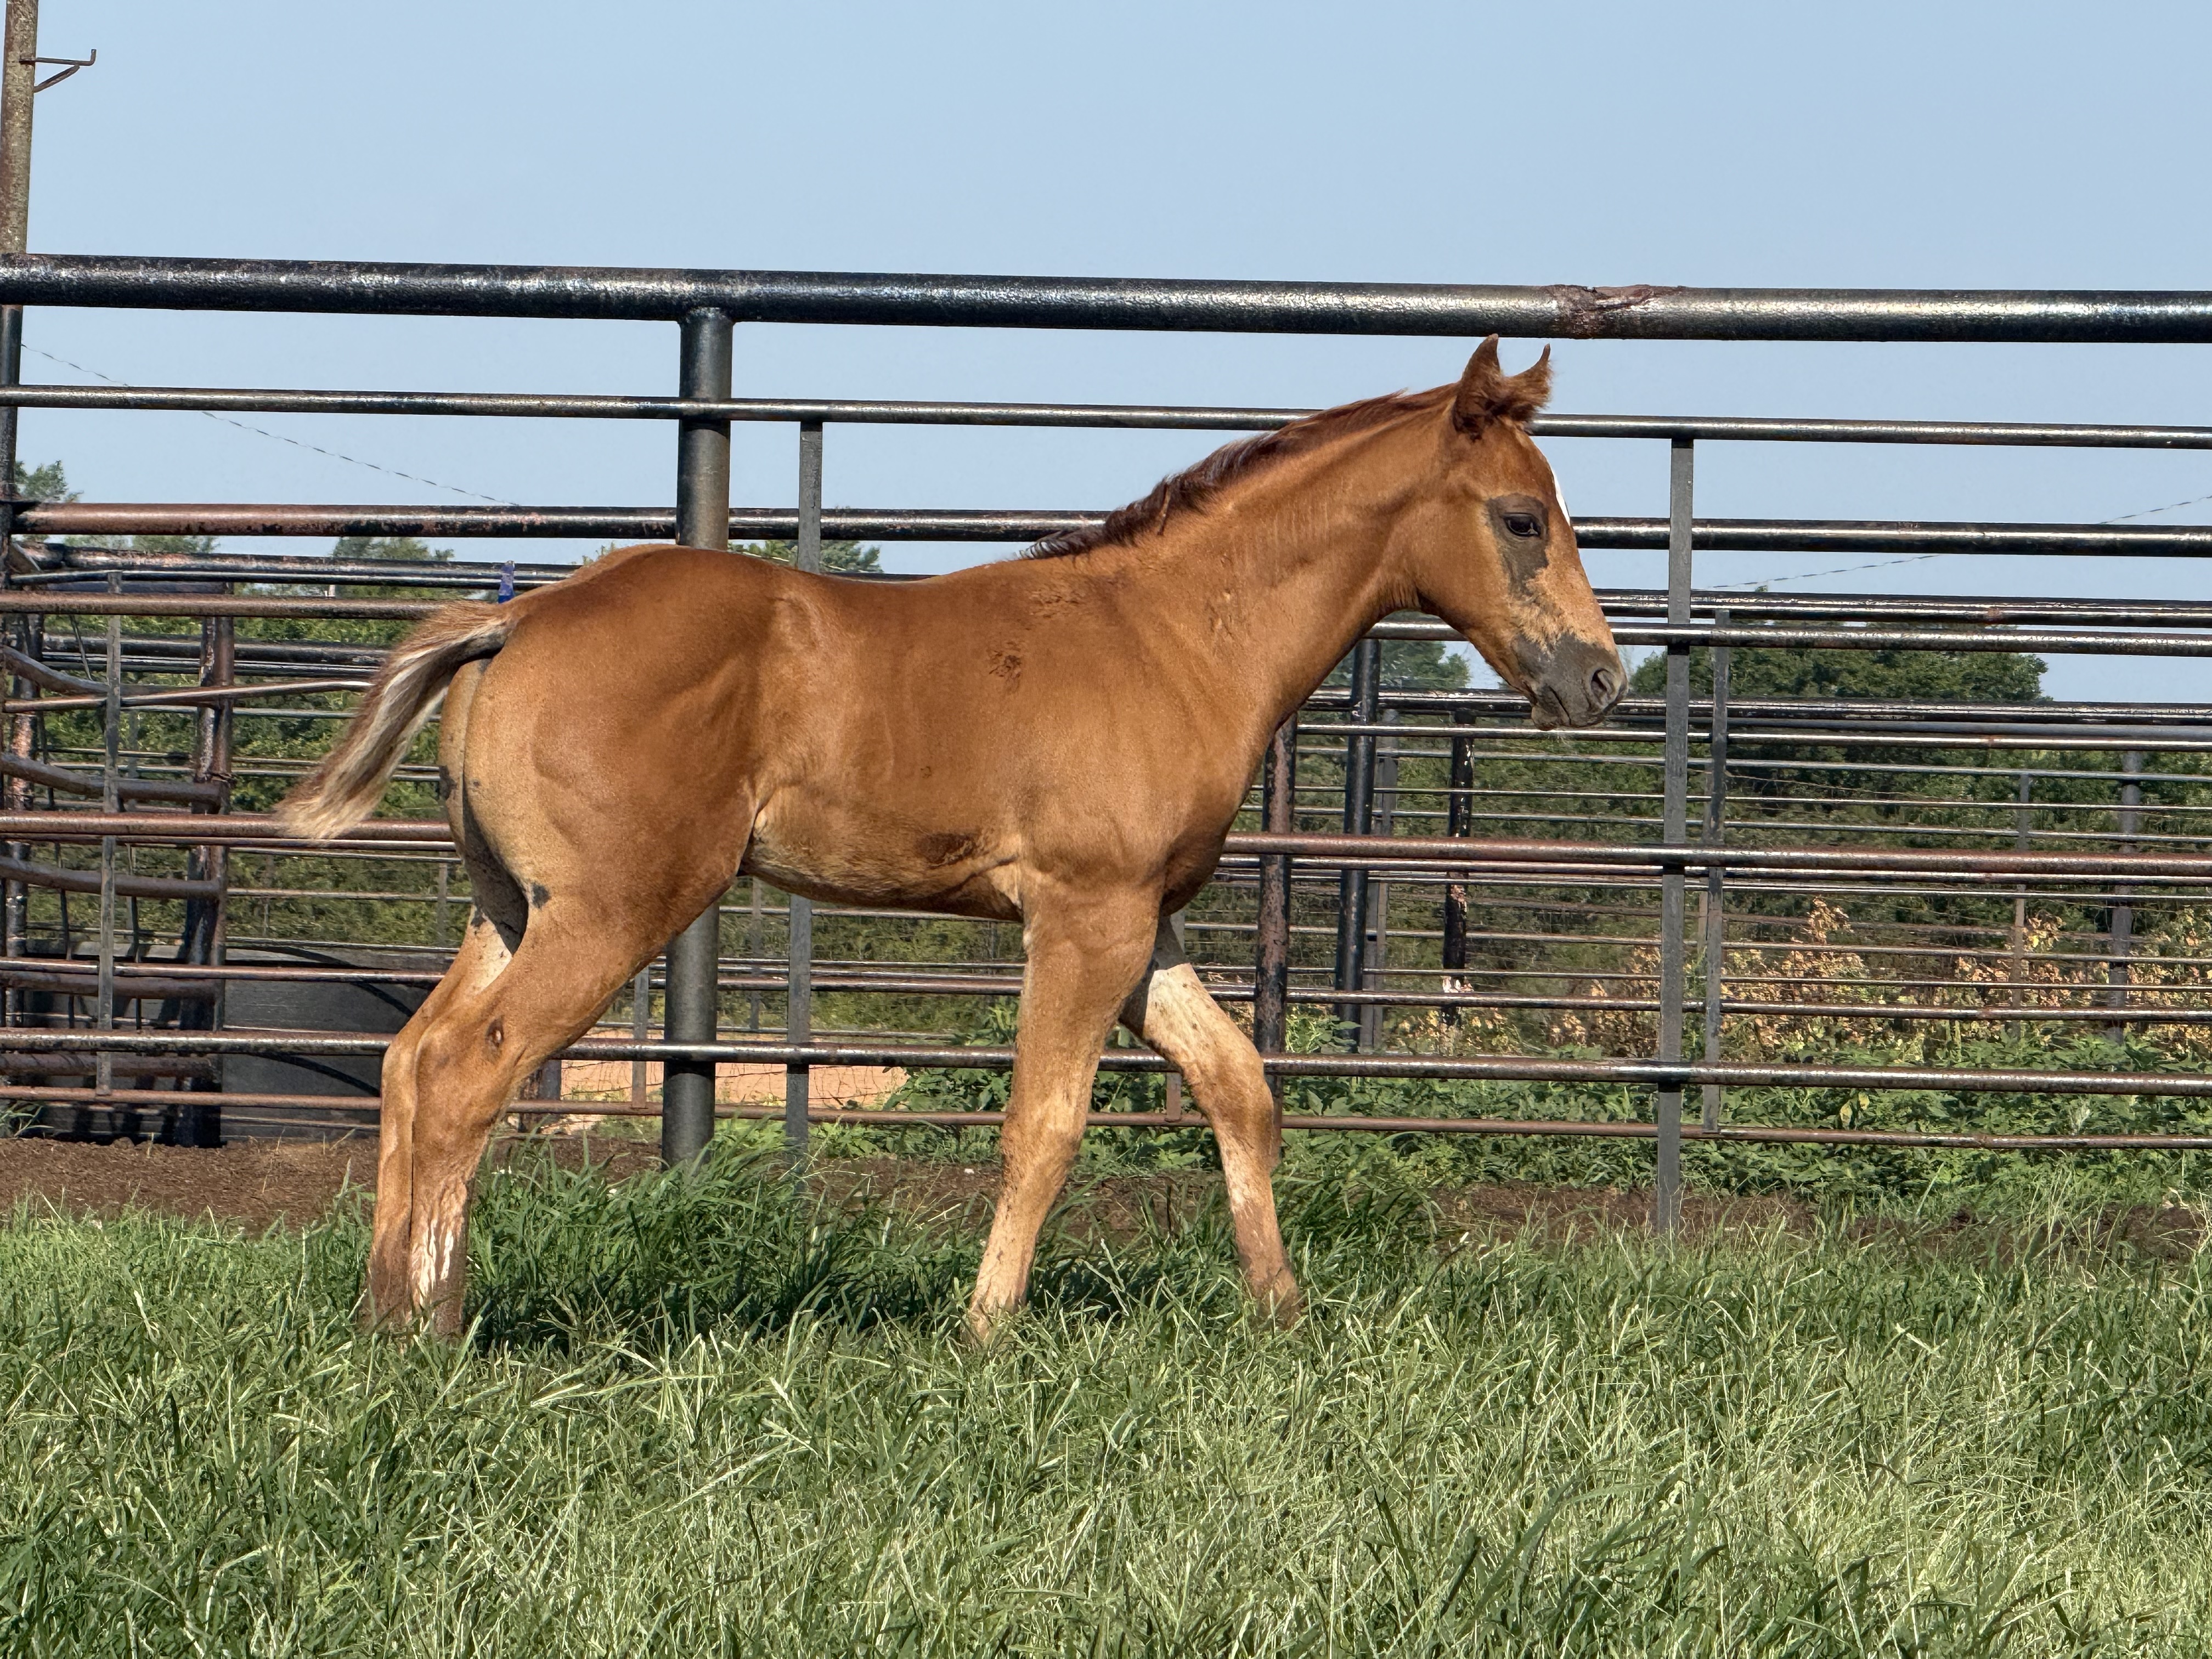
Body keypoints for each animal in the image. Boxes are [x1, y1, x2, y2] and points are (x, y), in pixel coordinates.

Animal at [281, 338, 1625, 1342]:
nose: (1601, 679)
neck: (1174, 637)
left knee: (411, 1062)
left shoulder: (1144, 924)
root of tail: (517, 620)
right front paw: (985, 1330)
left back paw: (382, 1316)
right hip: (613, 911)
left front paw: (1283, 1313)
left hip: (511, 910)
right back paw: (434, 1332)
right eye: (1521, 518)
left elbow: (1238, 1087)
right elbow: (1046, 1121)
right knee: (470, 1075)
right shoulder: (1085, 915)